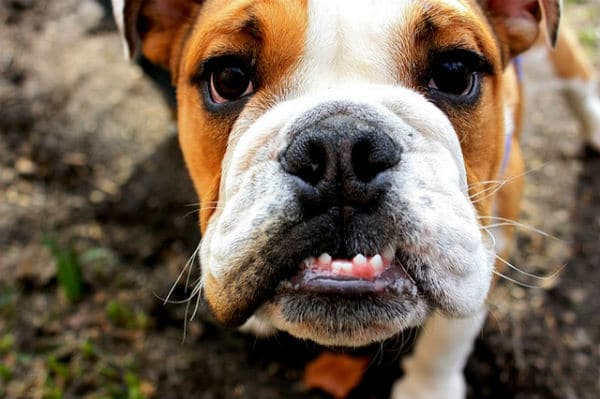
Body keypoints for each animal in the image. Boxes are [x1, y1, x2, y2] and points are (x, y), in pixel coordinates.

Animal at [110, 0, 592, 399]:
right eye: (227, 78)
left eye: (456, 71)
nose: (339, 145)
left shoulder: (492, 240)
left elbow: (449, 333)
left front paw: (428, 389)